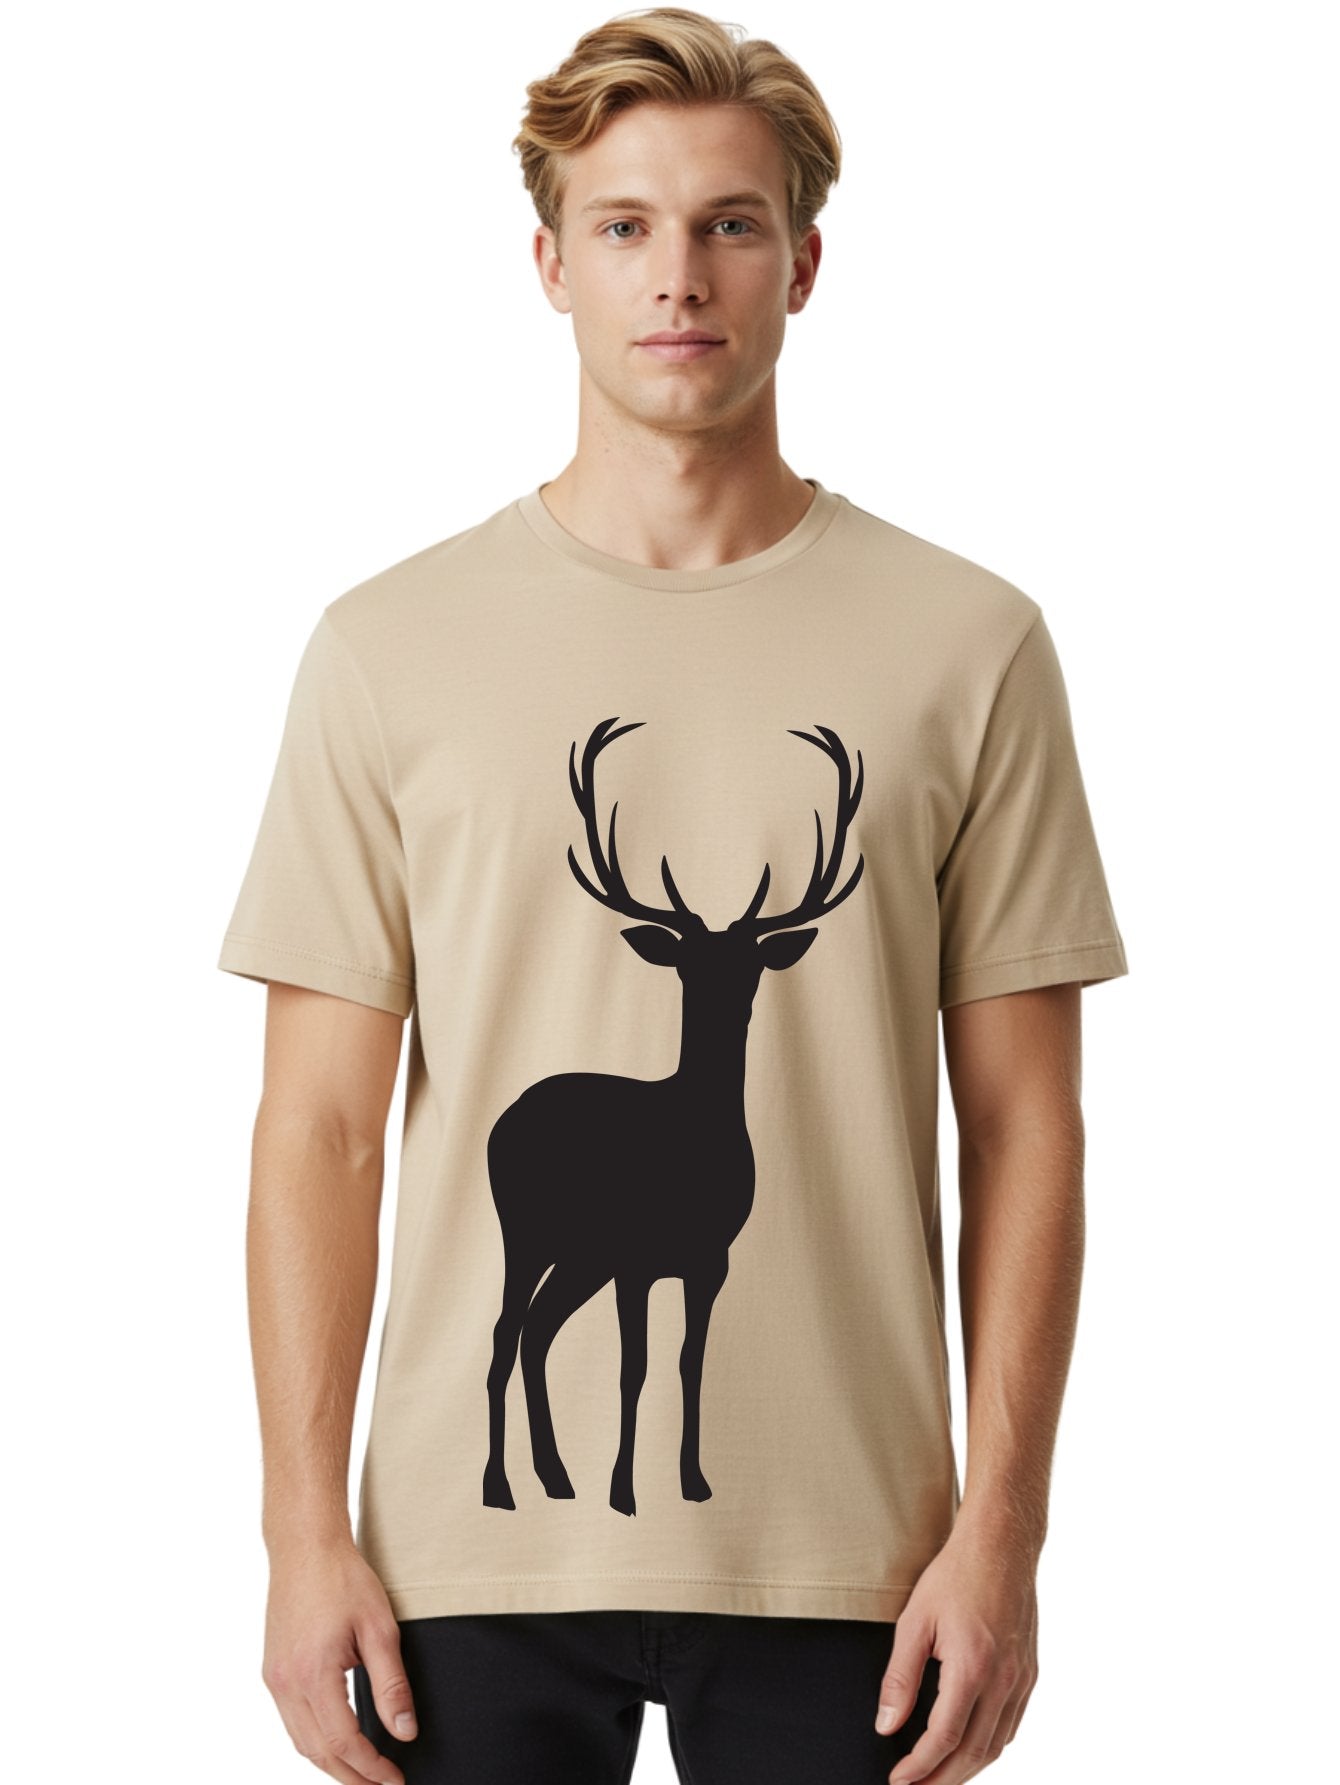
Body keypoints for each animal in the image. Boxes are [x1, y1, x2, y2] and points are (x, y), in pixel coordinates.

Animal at [482, 715, 865, 1517]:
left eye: (751, 966)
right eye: (689, 964)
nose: (726, 1007)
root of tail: (506, 1116)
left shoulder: (708, 1258)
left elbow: (691, 1364)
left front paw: (693, 1482)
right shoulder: (636, 1255)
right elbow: (636, 1367)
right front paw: (625, 1492)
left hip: (580, 1254)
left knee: (538, 1331)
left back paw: (556, 1478)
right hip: (525, 1227)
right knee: (505, 1332)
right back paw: (501, 1486)